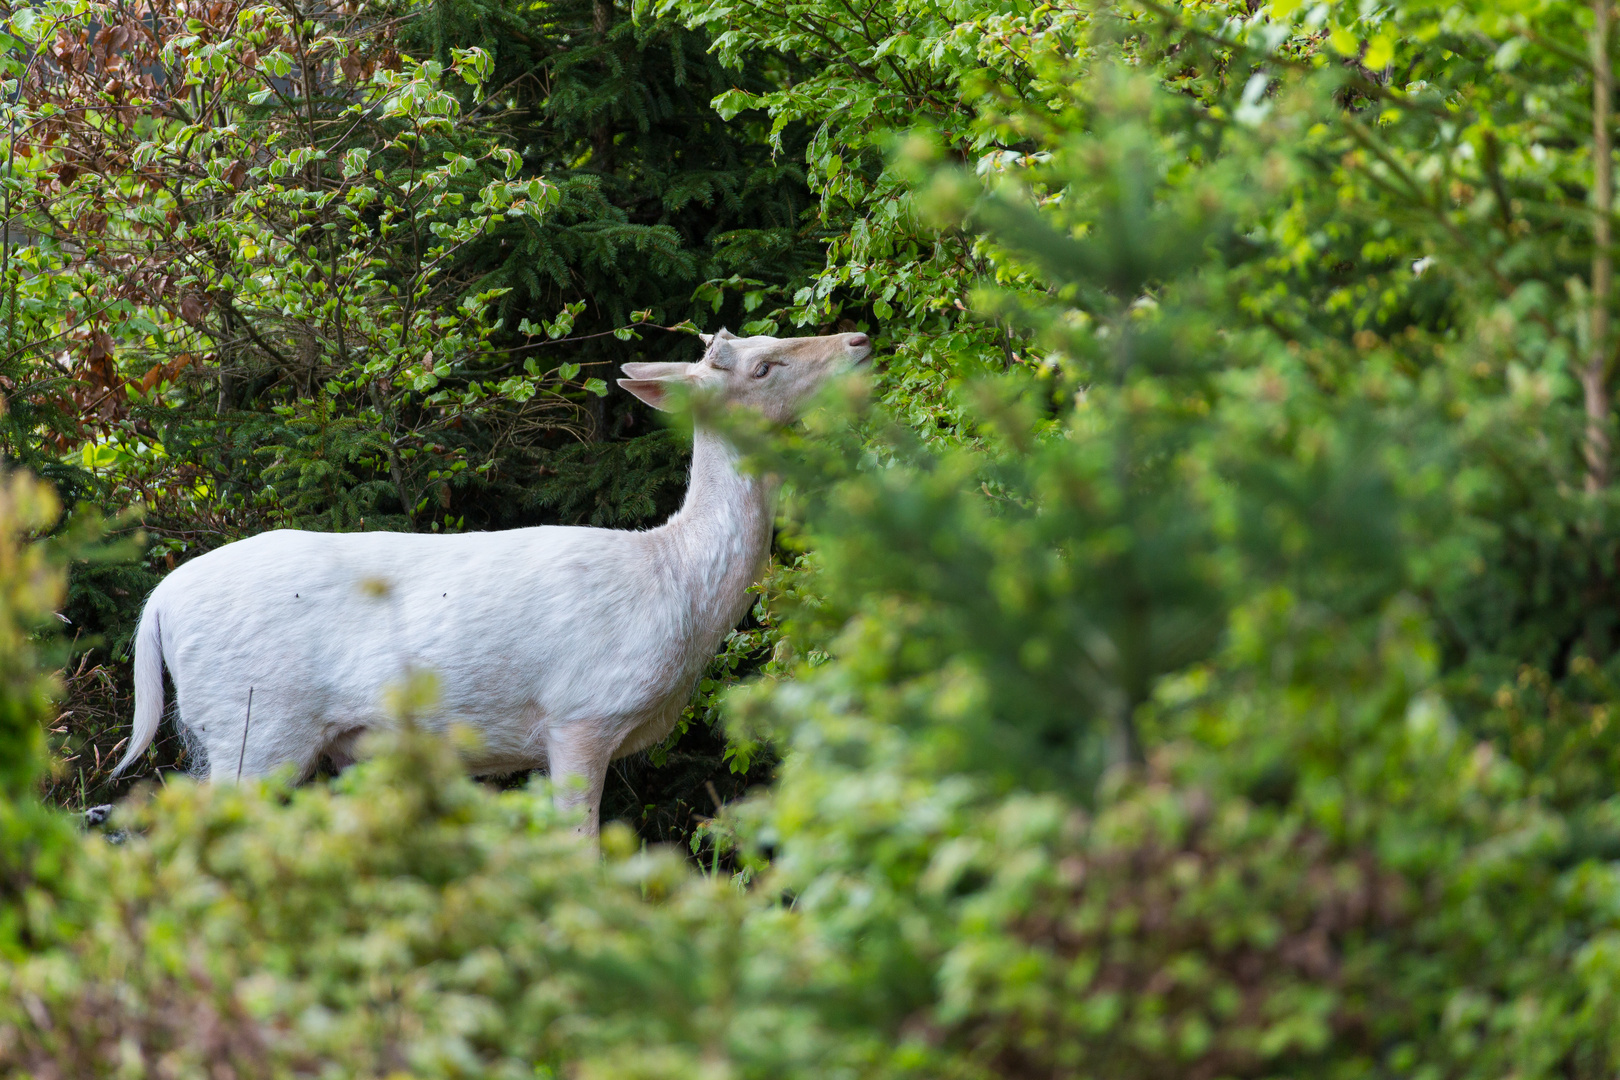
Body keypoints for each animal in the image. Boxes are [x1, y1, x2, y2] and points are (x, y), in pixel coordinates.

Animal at [110, 330, 874, 835]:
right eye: (764, 366)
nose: (860, 338)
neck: (676, 582)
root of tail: (157, 607)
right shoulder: (581, 713)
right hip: (256, 723)